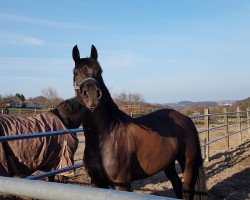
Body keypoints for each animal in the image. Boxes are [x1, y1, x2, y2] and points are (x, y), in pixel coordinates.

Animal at [72, 45, 207, 200]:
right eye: (75, 72)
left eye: (99, 71)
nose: (93, 95)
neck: (105, 137)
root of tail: (186, 119)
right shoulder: (96, 183)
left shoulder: (122, 184)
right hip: (169, 164)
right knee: (177, 184)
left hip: (188, 163)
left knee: (187, 190)